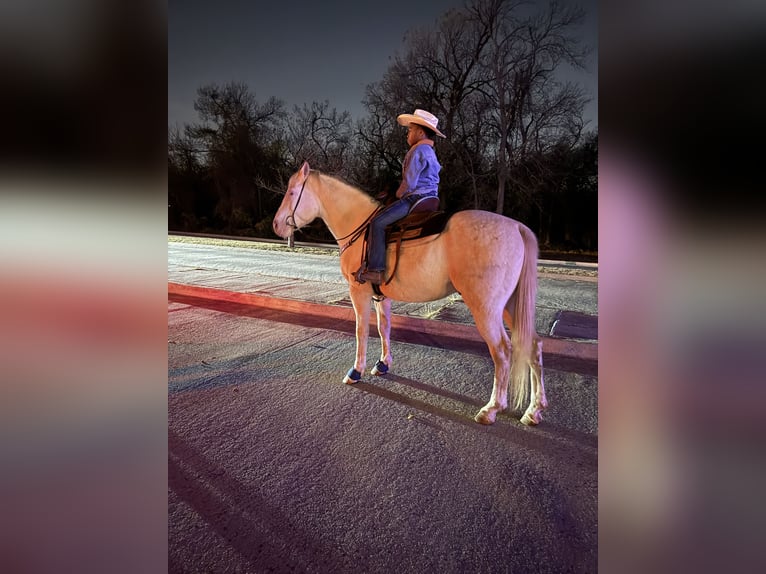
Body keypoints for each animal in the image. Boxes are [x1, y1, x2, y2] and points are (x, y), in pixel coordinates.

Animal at [272, 161, 547, 425]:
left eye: (292, 192)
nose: (276, 225)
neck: (360, 225)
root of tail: (516, 227)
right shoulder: (381, 296)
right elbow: (384, 328)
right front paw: (383, 364)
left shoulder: (358, 292)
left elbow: (361, 331)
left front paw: (356, 371)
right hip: (510, 306)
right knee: (533, 346)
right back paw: (534, 410)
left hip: (486, 309)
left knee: (502, 351)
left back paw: (492, 409)